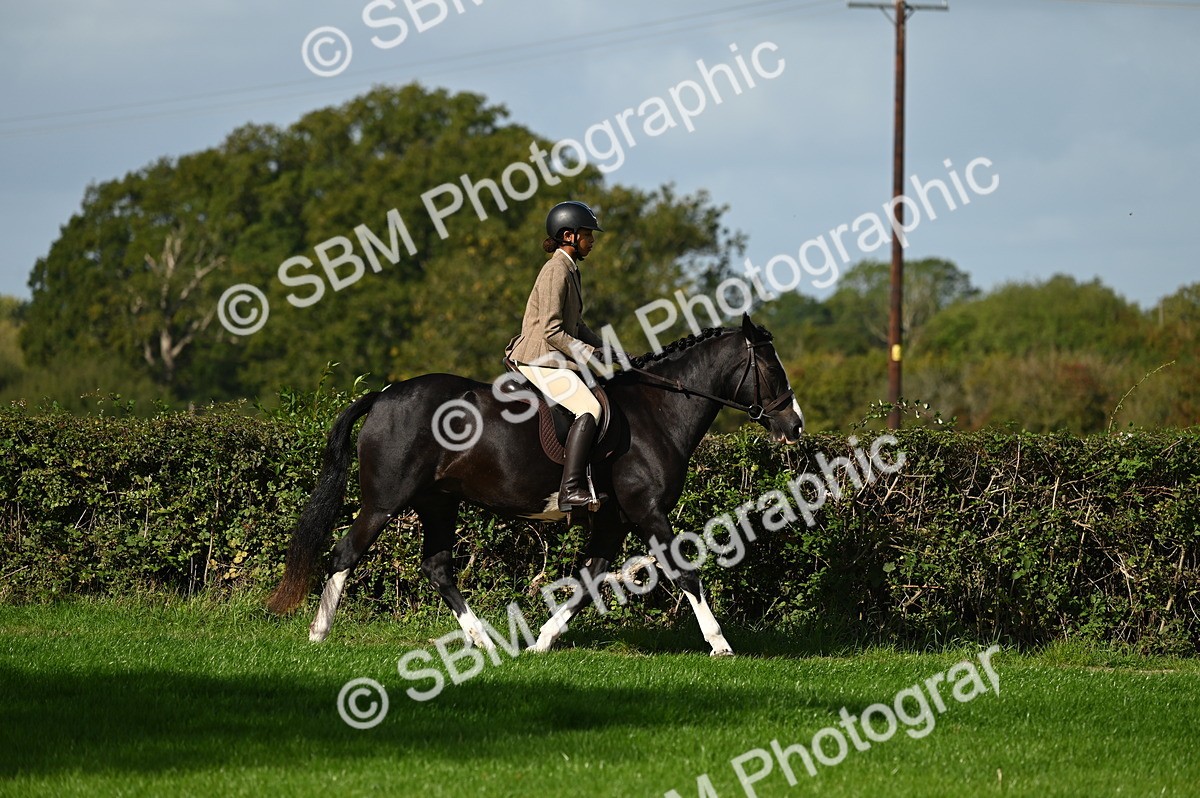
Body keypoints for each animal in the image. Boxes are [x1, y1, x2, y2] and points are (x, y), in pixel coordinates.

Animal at [266, 313, 804, 656]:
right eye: (771, 368)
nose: (795, 425)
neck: (659, 411)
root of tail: (382, 395)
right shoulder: (646, 510)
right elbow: (684, 570)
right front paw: (720, 643)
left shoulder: (614, 519)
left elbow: (588, 581)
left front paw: (543, 641)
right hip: (385, 501)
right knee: (345, 553)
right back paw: (318, 633)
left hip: (438, 502)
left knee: (437, 568)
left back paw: (483, 640)